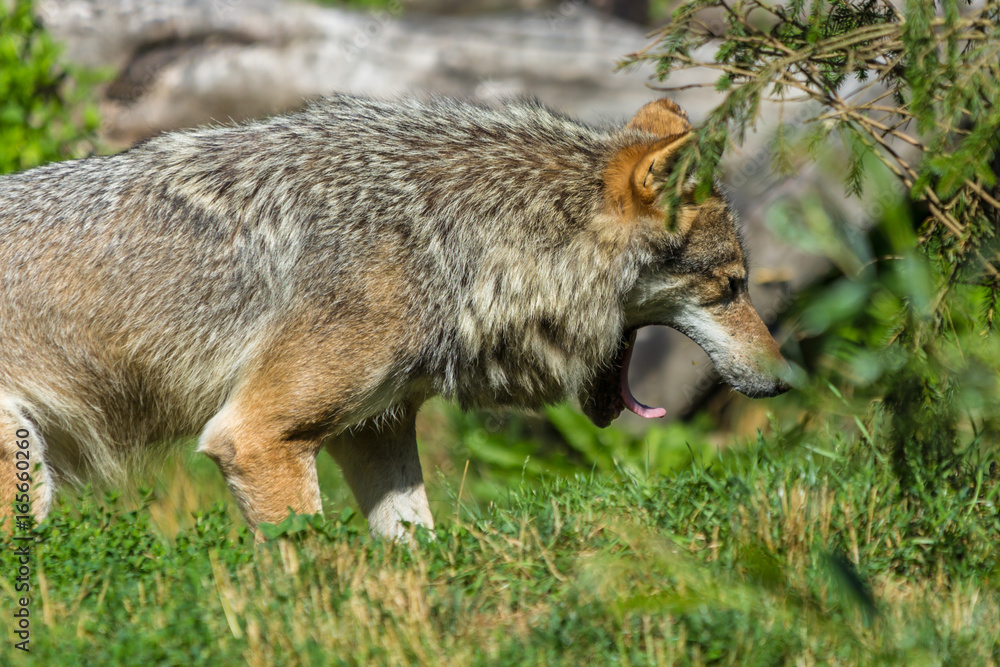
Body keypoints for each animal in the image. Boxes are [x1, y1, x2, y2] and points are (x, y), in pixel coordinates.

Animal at [0, 93, 788, 539]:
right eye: (731, 286)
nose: (785, 380)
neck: (451, 235)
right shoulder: (255, 439)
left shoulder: (373, 432)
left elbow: (417, 550)